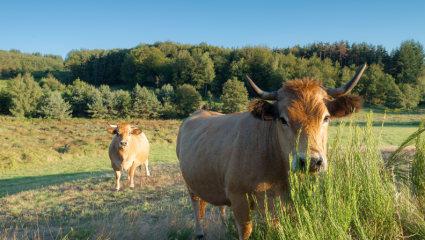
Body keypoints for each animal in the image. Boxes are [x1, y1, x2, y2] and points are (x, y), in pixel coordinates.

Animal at [176, 64, 364, 239]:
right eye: (283, 119)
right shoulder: (239, 198)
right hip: (189, 181)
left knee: (220, 205)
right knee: (197, 204)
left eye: (326, 117)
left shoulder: (284, 203)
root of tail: (200, 111)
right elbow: (246, 231)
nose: (311, 161)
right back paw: (200, 232)